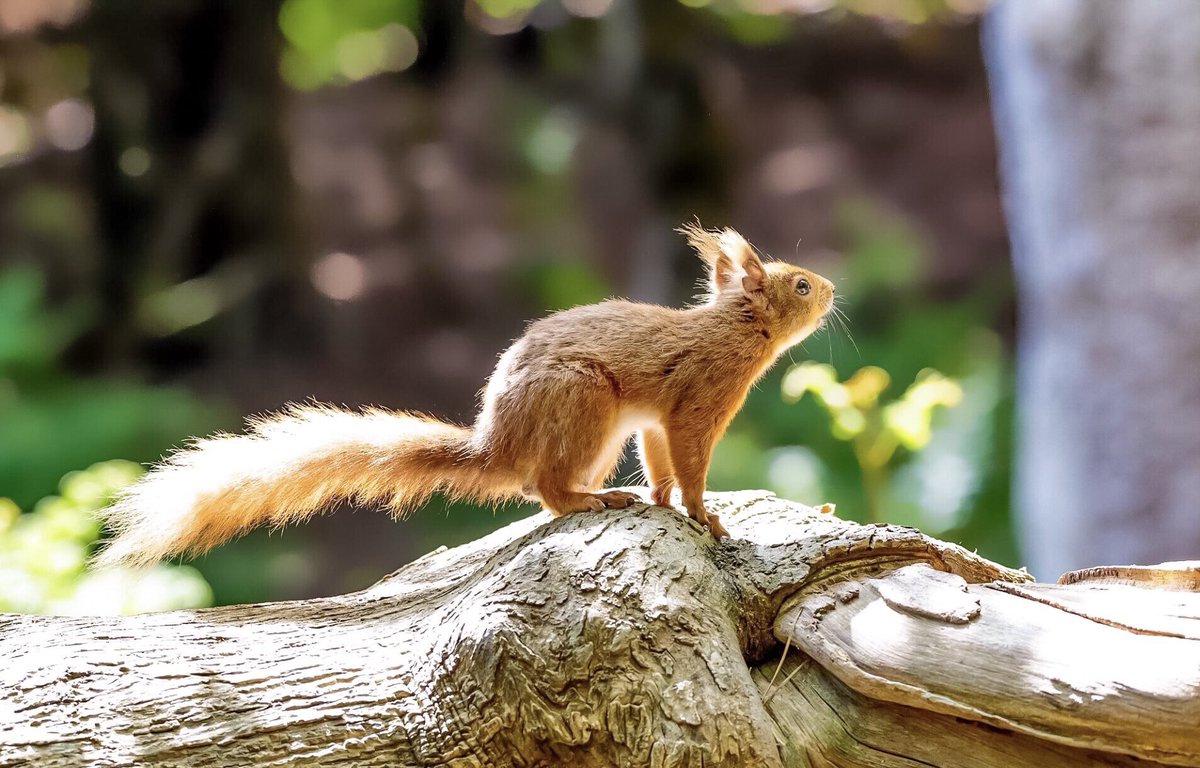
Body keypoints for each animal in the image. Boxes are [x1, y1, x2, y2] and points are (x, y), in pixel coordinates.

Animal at [96, 225, 835, 566]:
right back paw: (594, 499)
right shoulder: (699, 405)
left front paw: (661, 499)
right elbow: (690, 464)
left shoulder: (655, 420)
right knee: (547, 491)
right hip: (587, 407)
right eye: (799, 284)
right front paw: (705, 516)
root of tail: (496, 445)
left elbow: (660, 461)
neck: (732, 329)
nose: (830, 289)